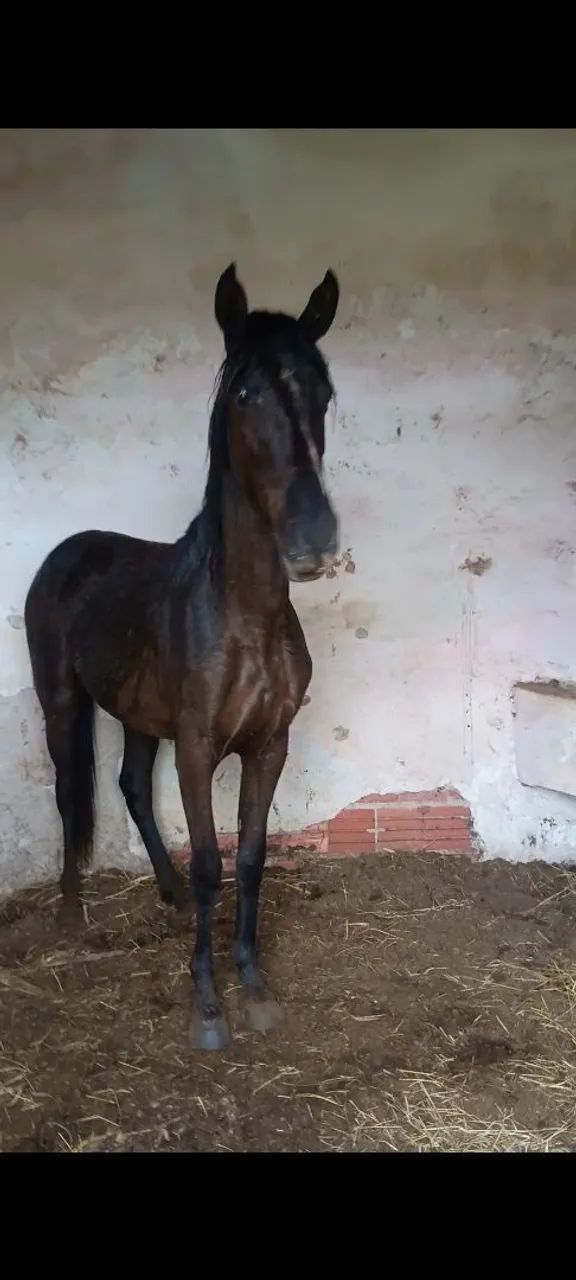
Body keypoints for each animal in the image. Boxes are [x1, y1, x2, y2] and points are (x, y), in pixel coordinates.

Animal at [25, 263, 340, 1050]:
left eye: (324, 392)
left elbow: (250, 860)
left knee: (133, 787)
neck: (243, 615)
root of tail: (68, 551)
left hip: (137, 716)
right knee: (70, 794)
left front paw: (253, 986)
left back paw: (162, 893)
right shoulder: (198, 748)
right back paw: (70, 911)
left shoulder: (270, 745)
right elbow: (208, 865)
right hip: (62, 703)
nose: (314, 541)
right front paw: (207, 1002)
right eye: (246, 393)